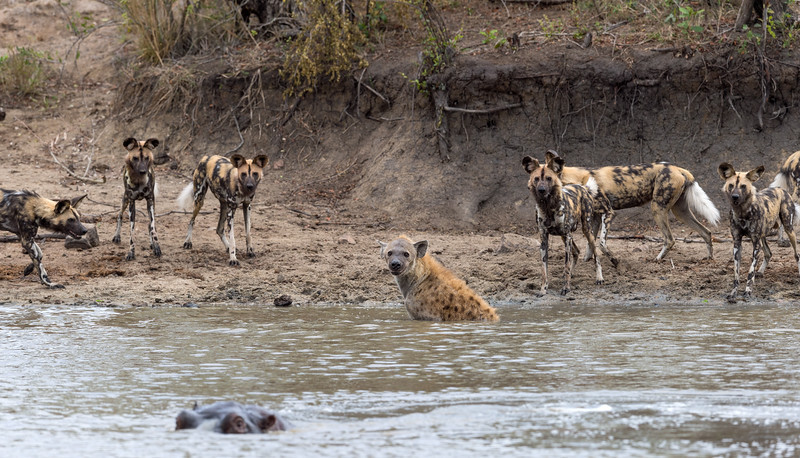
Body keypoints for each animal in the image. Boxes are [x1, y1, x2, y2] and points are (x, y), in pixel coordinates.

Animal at [520, 149, 604, 294]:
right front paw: (543, 289)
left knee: (596, 254)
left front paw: (566, 288)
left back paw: (599, 278)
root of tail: (583, 187)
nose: (541, 190)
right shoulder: (544, 240)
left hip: (586, 231)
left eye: (549, 178)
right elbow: (544, 270)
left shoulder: (567, 235)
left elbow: (566, 264)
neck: (548, 207)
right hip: (565, 237)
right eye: (536, 179)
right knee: (576, 252)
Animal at [556, 159, 720, 262]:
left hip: (657, 209)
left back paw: (657, 259)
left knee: (670, 239)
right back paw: (709, 258)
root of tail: (677, 168)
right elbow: (590, 244)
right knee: (706, 232)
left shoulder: (609, 213)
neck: (580, 178)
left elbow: (601, 244)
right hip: (680, 212)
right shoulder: (596, 217)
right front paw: (587, 261)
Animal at [720, 163, 800, 302]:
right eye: (731, 185)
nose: (735, 197)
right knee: (768, 253)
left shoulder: (755, 245)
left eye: (743, 186)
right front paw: (734, 293)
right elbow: (736, 274)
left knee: (796, 254)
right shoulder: (737, 243)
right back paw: (761, 272)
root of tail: (780, 189)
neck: (742, 212)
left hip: (789, 229)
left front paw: (747, 291)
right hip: (763, 235)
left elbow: (750, 272)